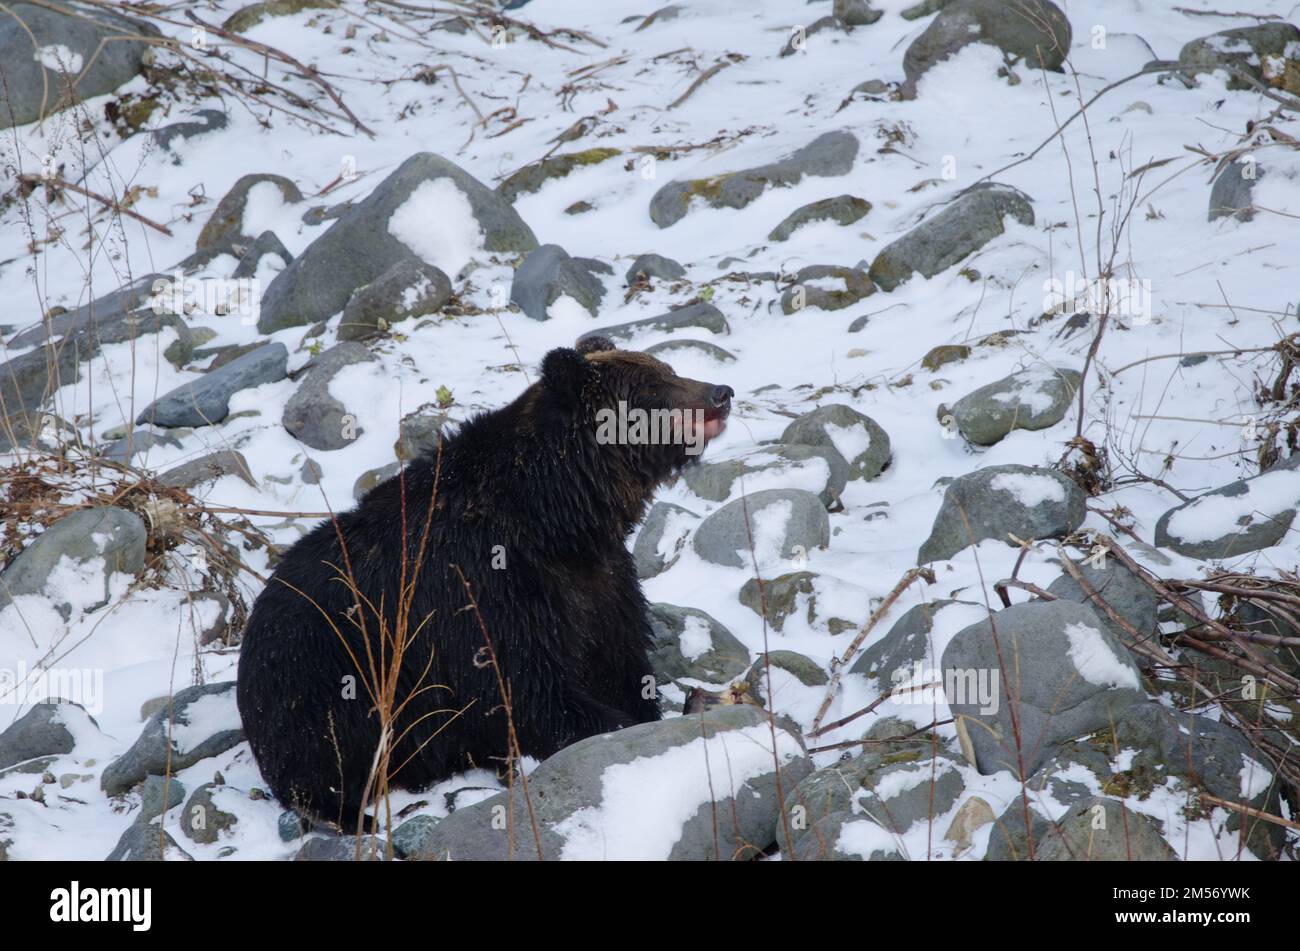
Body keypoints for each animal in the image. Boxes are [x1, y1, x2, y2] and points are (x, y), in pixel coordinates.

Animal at [233, 335, 733, 826]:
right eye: (652, 387)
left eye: (668, 369)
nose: (721, 392)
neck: (556, 519)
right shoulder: (477, 590)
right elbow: (524, 691)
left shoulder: (599, 580)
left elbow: (620, 659)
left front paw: (684, 703)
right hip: (318, 680)